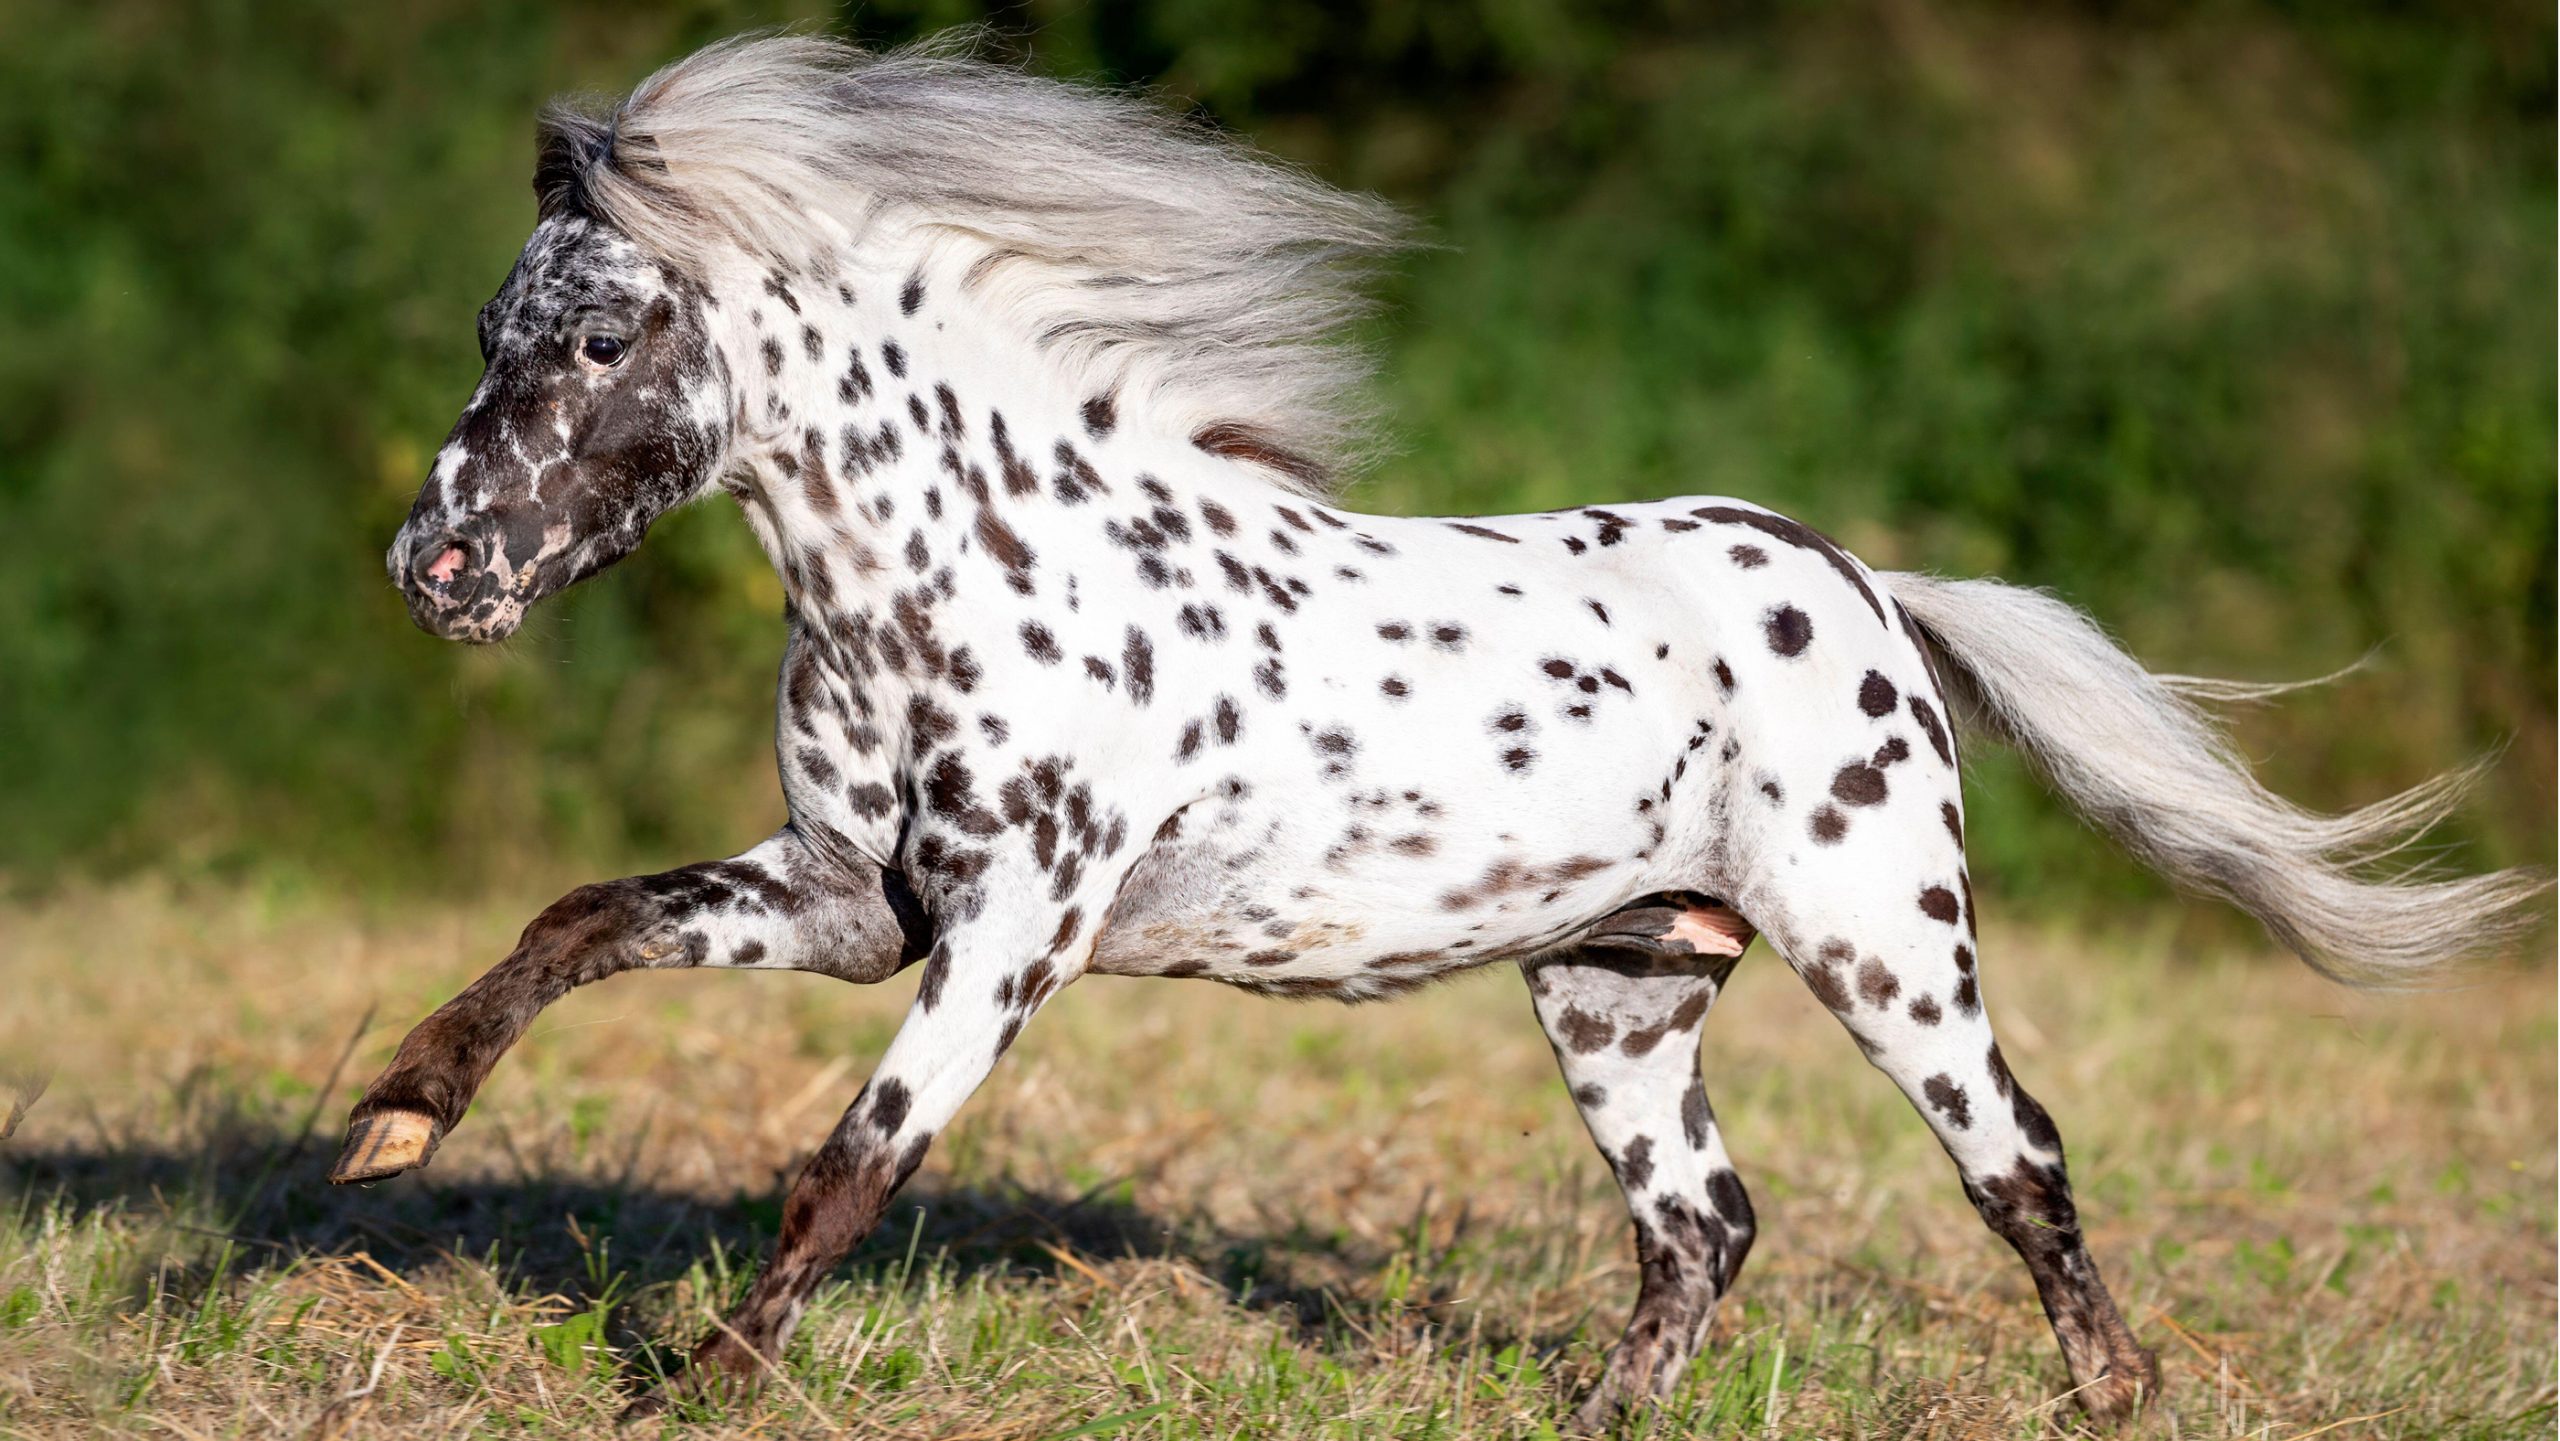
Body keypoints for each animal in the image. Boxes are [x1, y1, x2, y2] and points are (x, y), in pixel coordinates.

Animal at [331, 33, 2546, 1427]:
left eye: (599, 336)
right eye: (487, 329)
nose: (436, 570)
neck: (981, 569)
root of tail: (1869, 591)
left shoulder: (1010, 938)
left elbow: (849, 1166)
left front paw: (705, 1382)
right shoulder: (847, 901)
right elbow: (578, 921)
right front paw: (392, 1122)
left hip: (1885, 949)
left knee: (2017, 1166)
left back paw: (2115, 1396)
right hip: (1618, 985)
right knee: (1702, 1227)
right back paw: (1600, 1417)